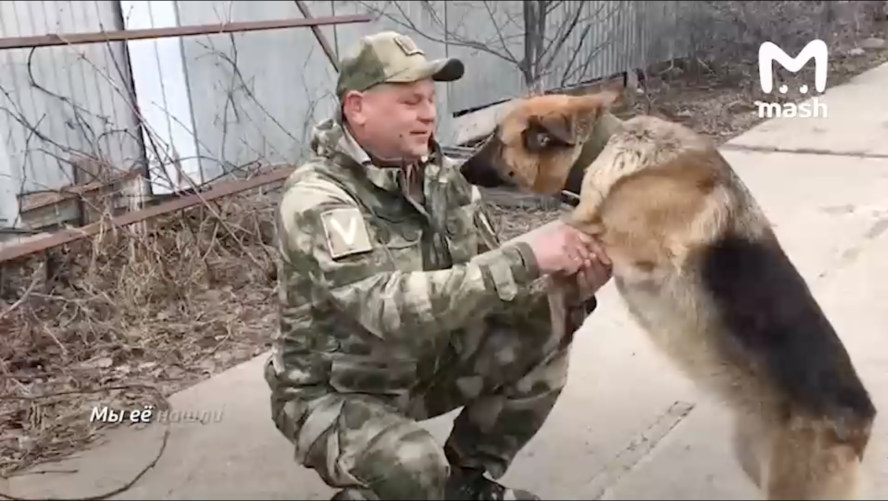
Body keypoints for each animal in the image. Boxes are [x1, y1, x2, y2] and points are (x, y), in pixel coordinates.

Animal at [462, 92, 876, 498]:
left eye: (497, 139)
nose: (461, 170)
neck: (601, 152)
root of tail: (864, 425)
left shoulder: (632, 249)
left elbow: (575, 229)